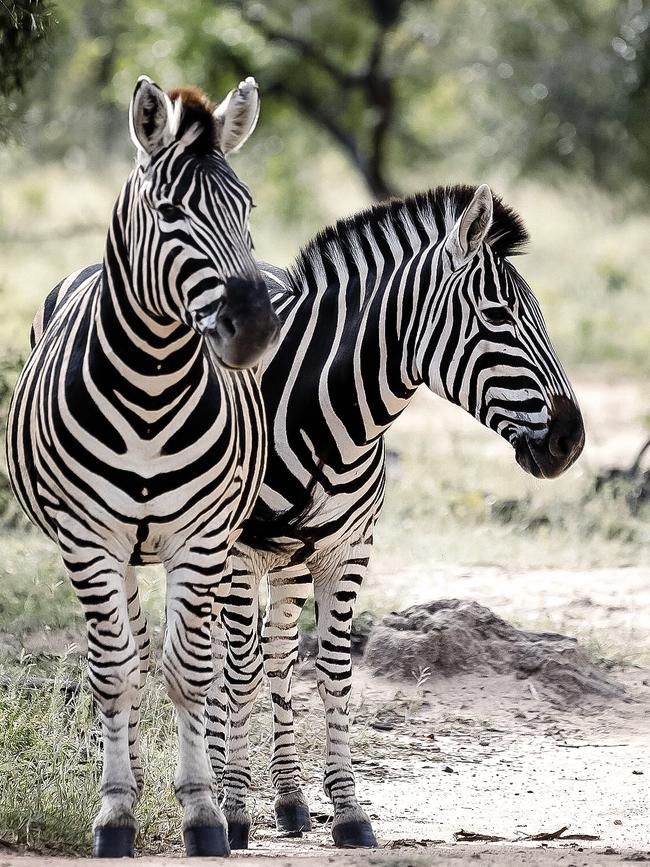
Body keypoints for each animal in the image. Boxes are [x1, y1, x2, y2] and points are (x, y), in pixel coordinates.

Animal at [5, 74, 278, 860]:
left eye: (248, 207)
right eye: (169, 211)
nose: (255, 330)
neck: (152, 387)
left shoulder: (203, 538)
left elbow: (189, 671)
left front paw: (204, 813)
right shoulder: (87, 539)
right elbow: (113, 671)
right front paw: (116, 813)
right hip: (112, 552)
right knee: (125, 647)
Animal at [206, 181, 584, 848]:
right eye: (497, 317)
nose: (572, 440)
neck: (317, 414)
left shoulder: (348, 547)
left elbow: (331, 670)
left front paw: (347, 811)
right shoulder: (237, 549)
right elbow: (237, 671)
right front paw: (232, 810)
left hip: (291, 559)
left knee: (278, 651)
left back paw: (289, 800)